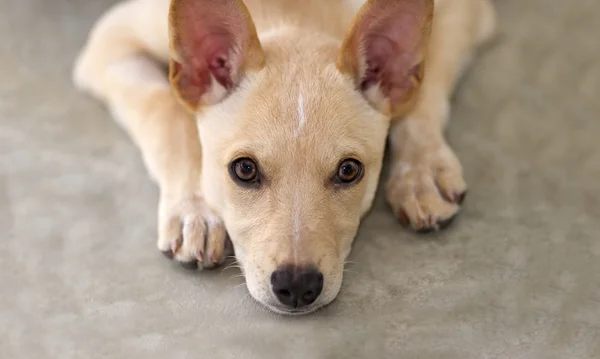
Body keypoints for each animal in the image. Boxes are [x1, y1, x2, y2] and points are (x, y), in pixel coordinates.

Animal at [72, 0, 496, 316]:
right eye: (244, 170)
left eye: (349, 171)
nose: (297, 286)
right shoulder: (111, 40)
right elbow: (168, 112)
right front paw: (195, 209)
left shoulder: (465, 9)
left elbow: (422, 92)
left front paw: (421, 173)